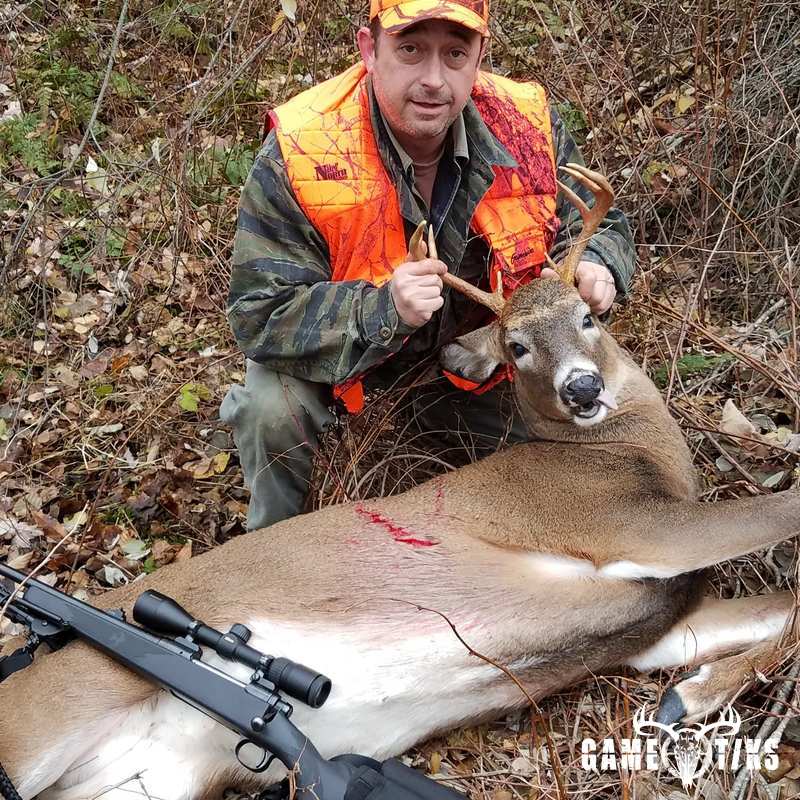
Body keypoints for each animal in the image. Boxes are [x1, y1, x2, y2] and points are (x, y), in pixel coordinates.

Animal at [1, 164, 798, 800]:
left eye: (587, 315)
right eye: (516, 346)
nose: (581, 389)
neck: (637, 453)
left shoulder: (655, 624)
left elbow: (778, 607)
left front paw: (685, 699)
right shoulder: (619, 523)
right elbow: (782, 509)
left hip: (152, 781)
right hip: (48, 714)